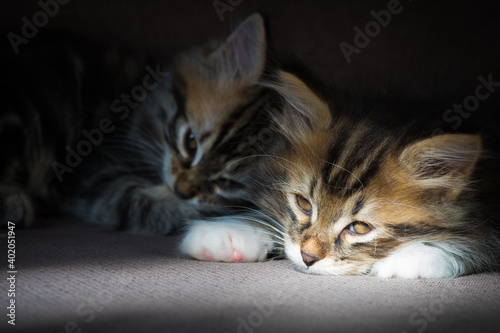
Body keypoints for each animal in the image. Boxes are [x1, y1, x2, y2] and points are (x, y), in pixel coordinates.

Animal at [0, 11, 270, 232]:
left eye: (225, 182)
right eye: (190, 142)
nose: (180, 191)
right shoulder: (91, 169)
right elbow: (132, 198)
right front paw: (186, 212)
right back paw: (12, 203)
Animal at [183, 69, 500, 278]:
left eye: (359, 228)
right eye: (304, 204)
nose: (308, 257)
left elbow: (479, 242)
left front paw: (412, 257)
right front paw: (230, 233)